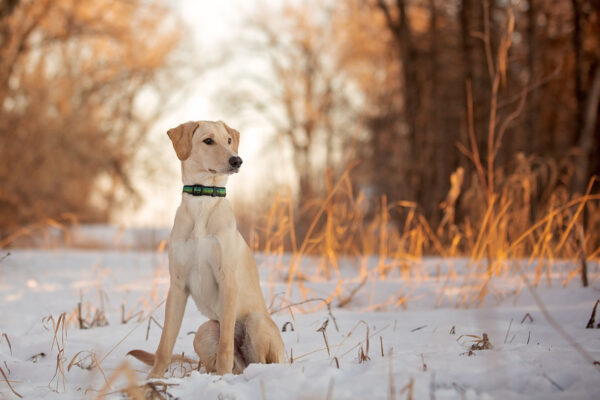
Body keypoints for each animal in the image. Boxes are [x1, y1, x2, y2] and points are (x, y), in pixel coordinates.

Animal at [127, 120, 286, 376]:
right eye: (208, 141)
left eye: (229, 140)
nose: (237, 160)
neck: (202, 201)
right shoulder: (177, 285)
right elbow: (165, 344)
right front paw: (154, 379)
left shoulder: (227, 280)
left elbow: (225, 346)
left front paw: (222, 378)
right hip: (204, 331)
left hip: (256, 321)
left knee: (259, 362)